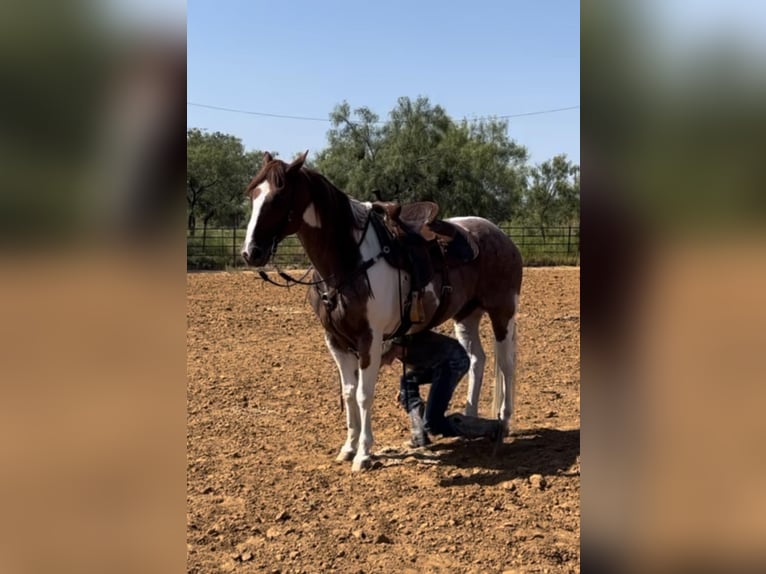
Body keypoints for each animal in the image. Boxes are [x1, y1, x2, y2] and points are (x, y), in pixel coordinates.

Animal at [243, 152, 524, 472]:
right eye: (252, 195)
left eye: (278, 197)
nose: (251, 252)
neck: (349, 260)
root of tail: (502, 237)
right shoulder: (335, 341)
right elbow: (348, 392)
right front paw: (348, 447)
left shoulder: (370, 339)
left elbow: (364, 395)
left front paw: (364, 454)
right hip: (467, 315)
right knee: (477, 359)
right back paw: (470, 414)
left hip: (502, 312)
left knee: (506, 364)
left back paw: (503, 423)